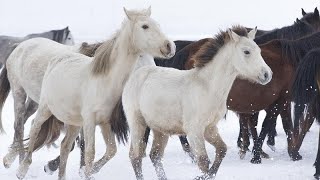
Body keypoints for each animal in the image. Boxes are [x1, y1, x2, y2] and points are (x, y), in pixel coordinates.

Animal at [13, 6, 175, 179]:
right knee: (34, 130)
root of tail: (59, 58)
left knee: (65, 146)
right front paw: (86, 171)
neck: (104, 81)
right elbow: (90, 152)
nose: (169, 46)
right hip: (45, 108)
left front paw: (88, 170)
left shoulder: (104, 122)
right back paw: (22, 169)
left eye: (157, 24)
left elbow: (111, 150)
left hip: (74, 122)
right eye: (145, 26)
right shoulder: (90, 121)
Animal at [122, 25, 272, 180]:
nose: (267, 74)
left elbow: (221, 150)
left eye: (259, 51)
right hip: (137, 123)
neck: (208, 87)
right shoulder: (194, 131)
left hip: (160, 129)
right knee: (135, 156)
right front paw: (201, 176)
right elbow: (203, 161)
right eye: (246, 51)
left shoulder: (210, 128)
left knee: (155, 155)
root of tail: (138, 73)